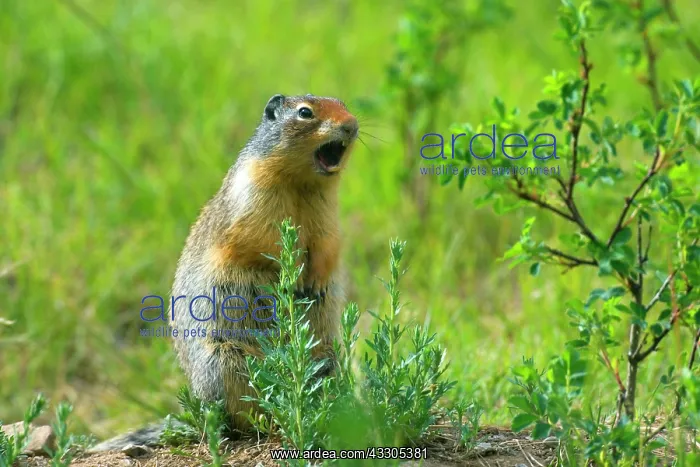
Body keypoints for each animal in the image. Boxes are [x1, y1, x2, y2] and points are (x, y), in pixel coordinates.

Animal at [90, 94, 358, 451]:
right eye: (305, 112)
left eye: (344, 104)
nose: (352, 125)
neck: (301, 184)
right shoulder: (252, 200)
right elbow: (262, 241)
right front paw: (289, 277)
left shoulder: (328, 214)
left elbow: (330, 244)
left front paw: (313, 281)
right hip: (225, 361)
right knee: (243, 415)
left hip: (327, 359)